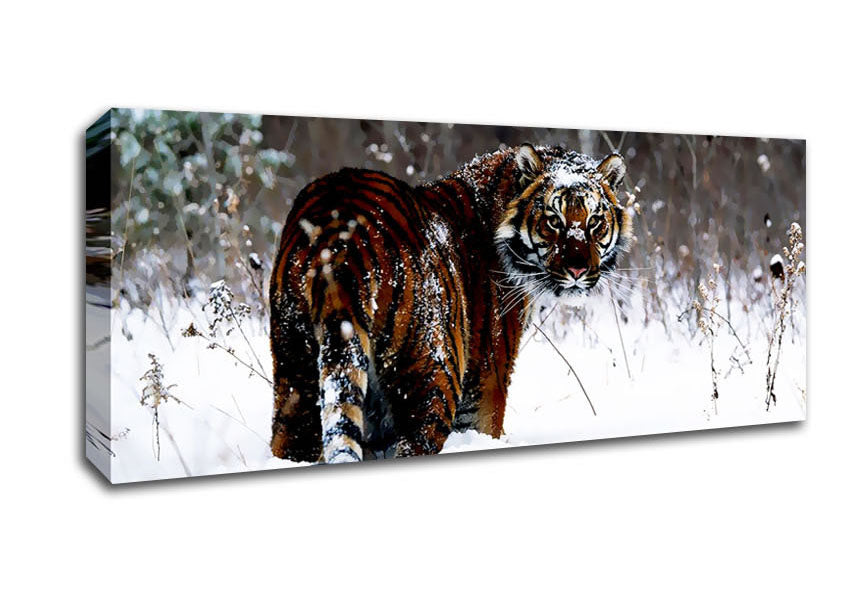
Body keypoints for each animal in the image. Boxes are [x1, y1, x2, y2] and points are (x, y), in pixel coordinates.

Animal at [269, 143, 631, 463]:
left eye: (595, 221)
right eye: (554, 220)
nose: (577, 270)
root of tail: (339, 234)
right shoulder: (486, 379)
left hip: (295, 366)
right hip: (431, 374)